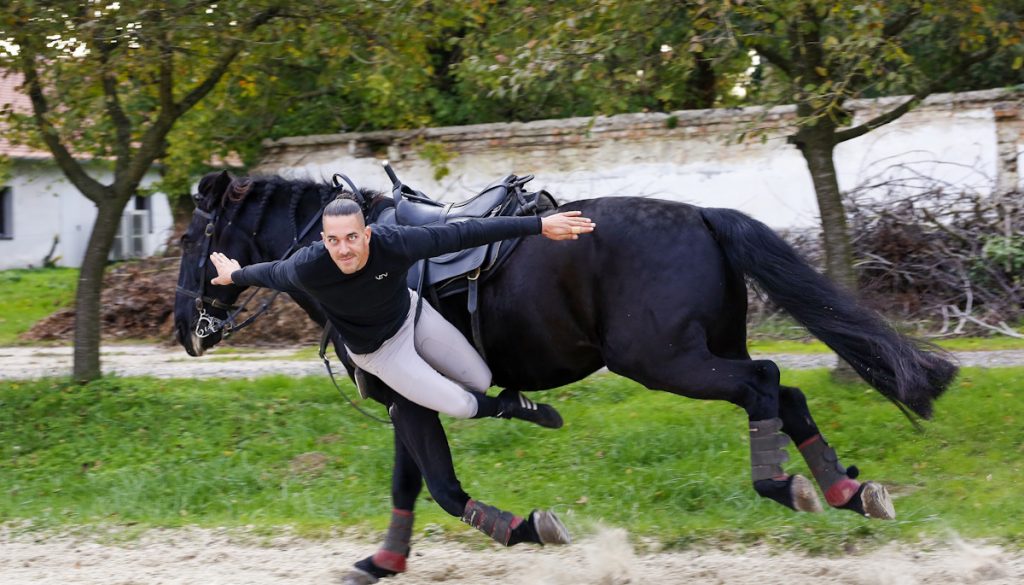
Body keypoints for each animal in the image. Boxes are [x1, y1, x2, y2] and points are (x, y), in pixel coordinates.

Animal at [174, 169, 950, 581]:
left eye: (191, 238)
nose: (185, 327)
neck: (355, 259)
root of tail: (701, 215)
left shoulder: (407, 400)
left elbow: (443, 488)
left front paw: (522, 526)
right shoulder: (404, 398)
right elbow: (409, 483)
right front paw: (386, 558)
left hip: (667, 361)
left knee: (763, 383)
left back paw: (786, 484)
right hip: (707, 347)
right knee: (784, 390)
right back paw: (845, 488)